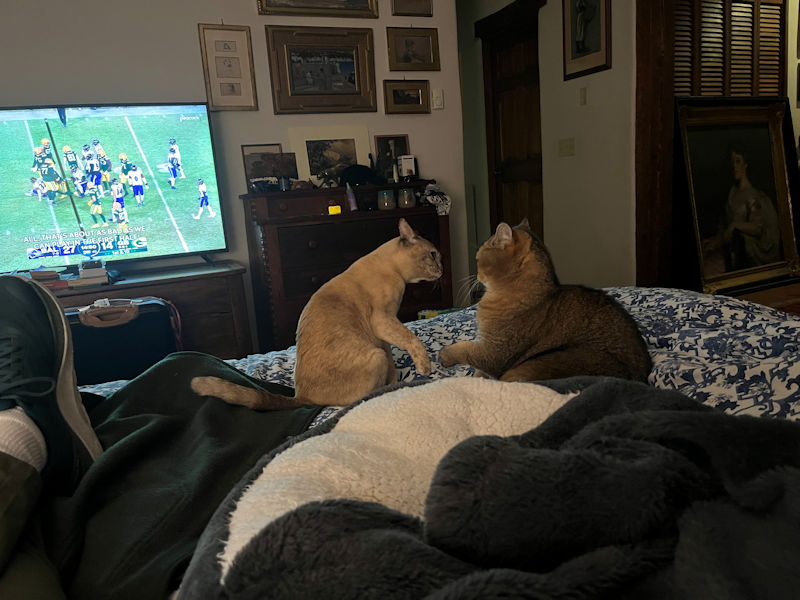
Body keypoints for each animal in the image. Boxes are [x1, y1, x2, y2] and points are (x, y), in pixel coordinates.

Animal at [191, 218, 443, 409]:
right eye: (433, 255)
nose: (442, 269)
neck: (395, 271)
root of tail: (302, 397)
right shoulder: (384, 321)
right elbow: (412, 341)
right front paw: (423, 368)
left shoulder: (383, 335)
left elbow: (393, 356)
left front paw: (397, 376)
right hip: (375, 355)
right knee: (359, 399)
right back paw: (387, 389)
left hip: (376, 350)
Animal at [439, 219, 652, 383]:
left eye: (478, 259)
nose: (476, 275)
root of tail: (640, 380)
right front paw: (477, 376)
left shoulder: (496, 353)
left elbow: (467, 349)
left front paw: (446, 355)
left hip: (531, 367)